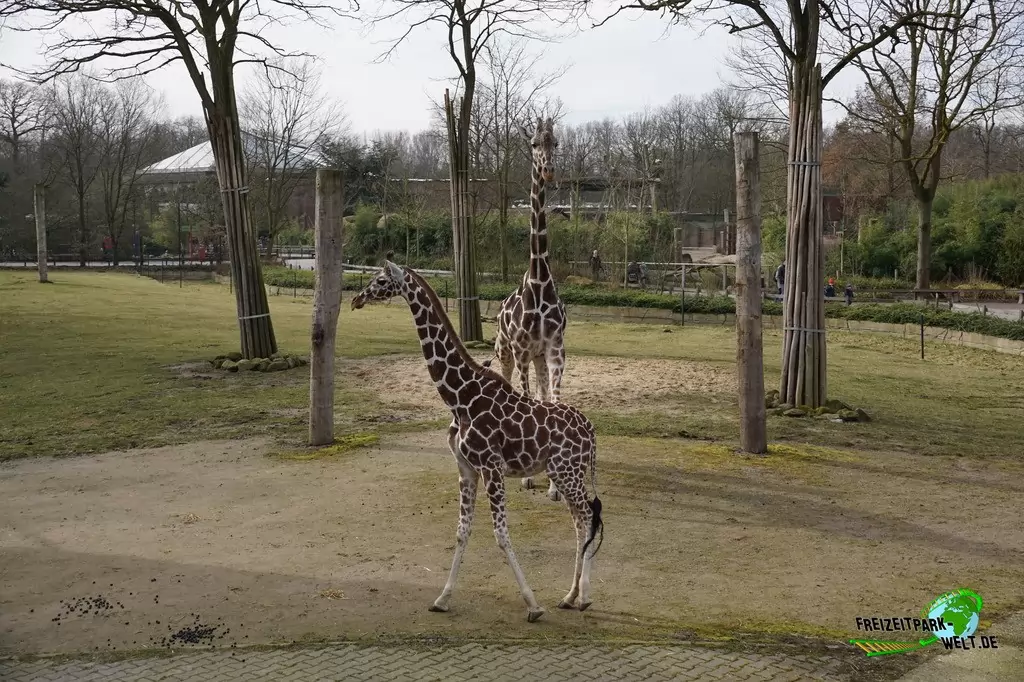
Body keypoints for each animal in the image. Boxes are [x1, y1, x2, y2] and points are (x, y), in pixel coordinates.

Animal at [351, 261, 603, 622]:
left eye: (382, 280)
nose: (357, 299)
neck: (460, 397)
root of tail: (592, 432)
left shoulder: (491, 467)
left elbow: (500, 534)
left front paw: (532, 604)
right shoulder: (466, 468)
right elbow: (462, 532)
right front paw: (442, 598)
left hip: (567, 472)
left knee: (587, 516)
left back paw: (582, 597)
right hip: (565, 472)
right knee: (581, 520)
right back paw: (570, 596)